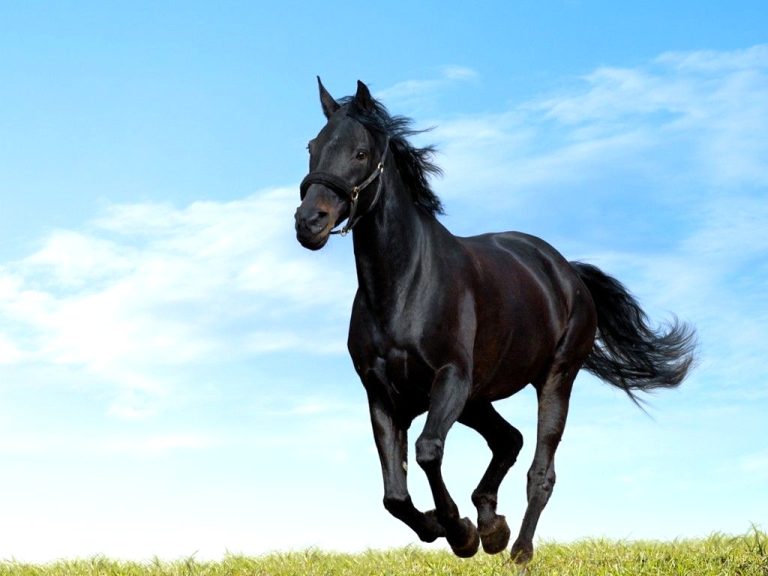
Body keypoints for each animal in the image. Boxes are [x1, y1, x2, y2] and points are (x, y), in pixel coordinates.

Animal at [294, 78, 696, 564]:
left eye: (360, 153)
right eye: (312, 147)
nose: (309, 222)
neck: (404, 286)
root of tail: (566, 271)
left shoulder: (449, 379)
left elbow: (428, 452)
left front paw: (459, 532)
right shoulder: (382, 395)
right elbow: (395, 495)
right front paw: (450, 526)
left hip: (553, 379)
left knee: (540, 470)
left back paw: (517, 548)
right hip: (477, 399)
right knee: (509, 440)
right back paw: (492, 525)